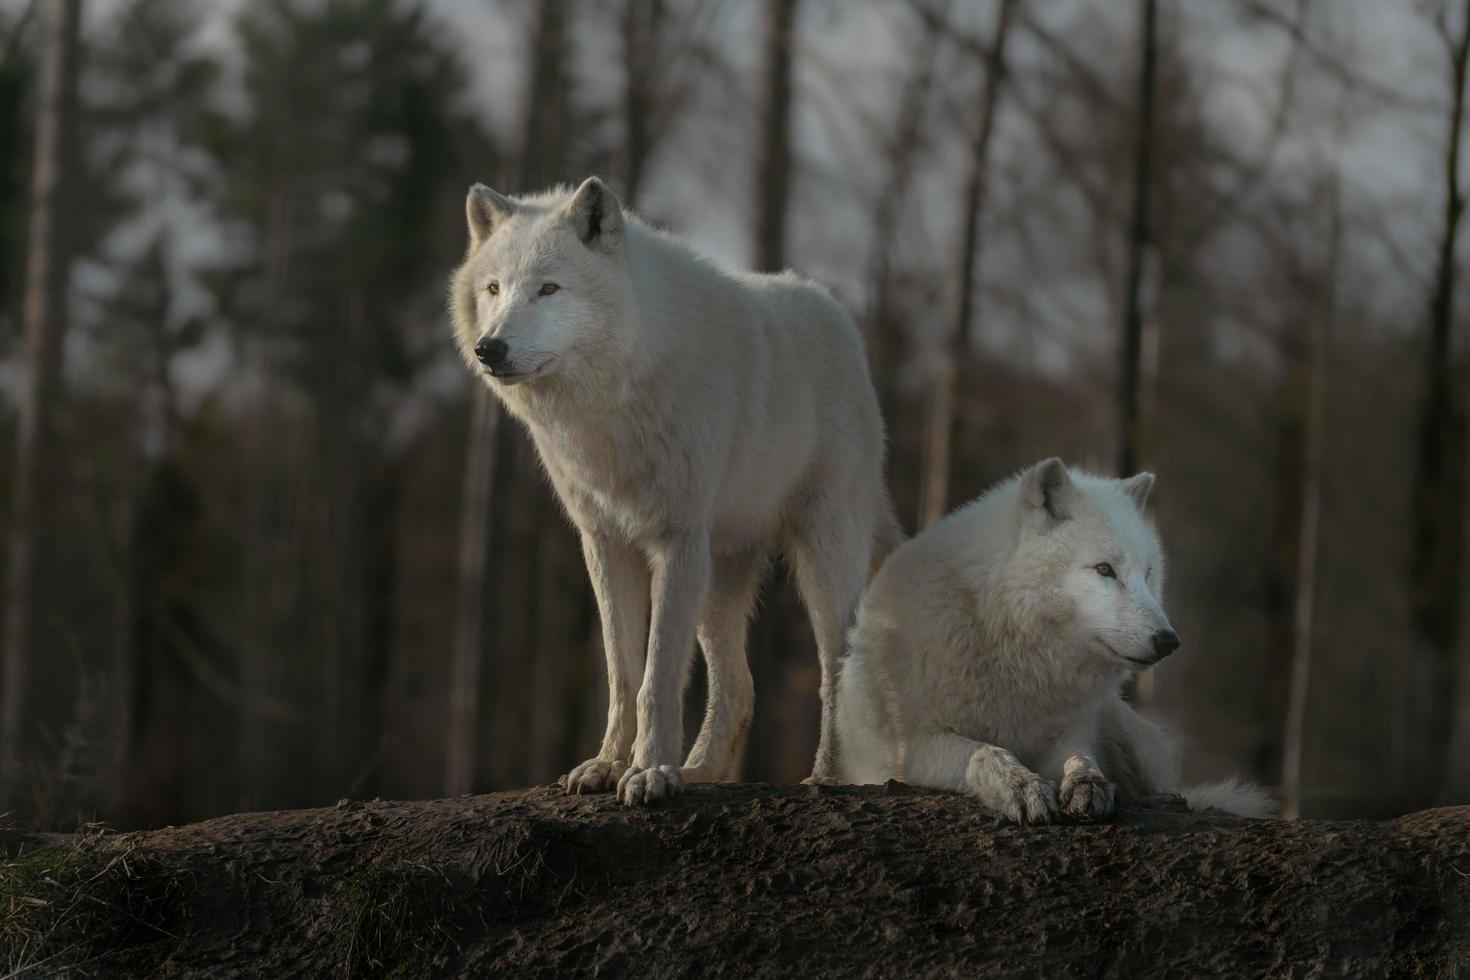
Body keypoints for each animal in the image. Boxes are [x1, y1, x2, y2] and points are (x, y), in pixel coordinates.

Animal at [449, 176, 893, 805]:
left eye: (548, 289)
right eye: (493, 289)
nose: (491, 348)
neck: (613, 401)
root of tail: (837, 313)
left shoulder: (676, 541)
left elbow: (657, 676)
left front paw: (650, 772)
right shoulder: (604, 542)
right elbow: (622, 671)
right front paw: (609, 765)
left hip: (819, 560)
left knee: (835, 667)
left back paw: (825, 775)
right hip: (718, 577)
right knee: (739, 687)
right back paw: (701, 771)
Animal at [840, 458, 1275, 822]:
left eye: (1148, 574)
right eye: (1104, 569)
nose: (1168, 641)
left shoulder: (1066, 734)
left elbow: (1081, 756)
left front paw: (1088, 783)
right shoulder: (912, 749)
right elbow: (984, 751)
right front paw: (1021, 785)